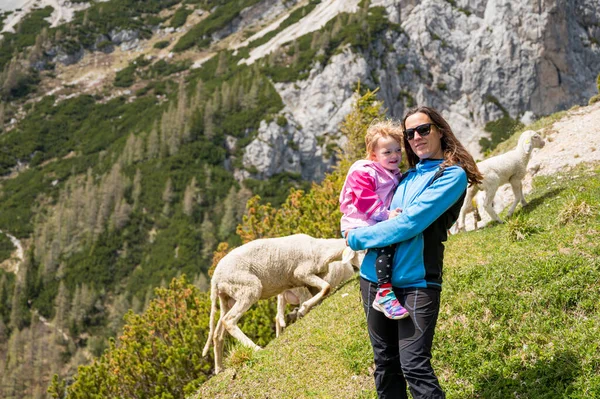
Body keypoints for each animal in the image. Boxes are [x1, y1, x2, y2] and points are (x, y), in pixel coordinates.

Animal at [200, 234, 352, 376]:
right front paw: (302, 310)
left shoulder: (307, 282)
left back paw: (219, 368)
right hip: (248, 287)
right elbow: (326, 288)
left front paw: (303, 310)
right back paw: (256, 348)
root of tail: (215, 279)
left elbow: (323, 291)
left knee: (217, 333)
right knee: (229, 321)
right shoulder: (302, 273)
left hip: (228, 298)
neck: (321, 249)